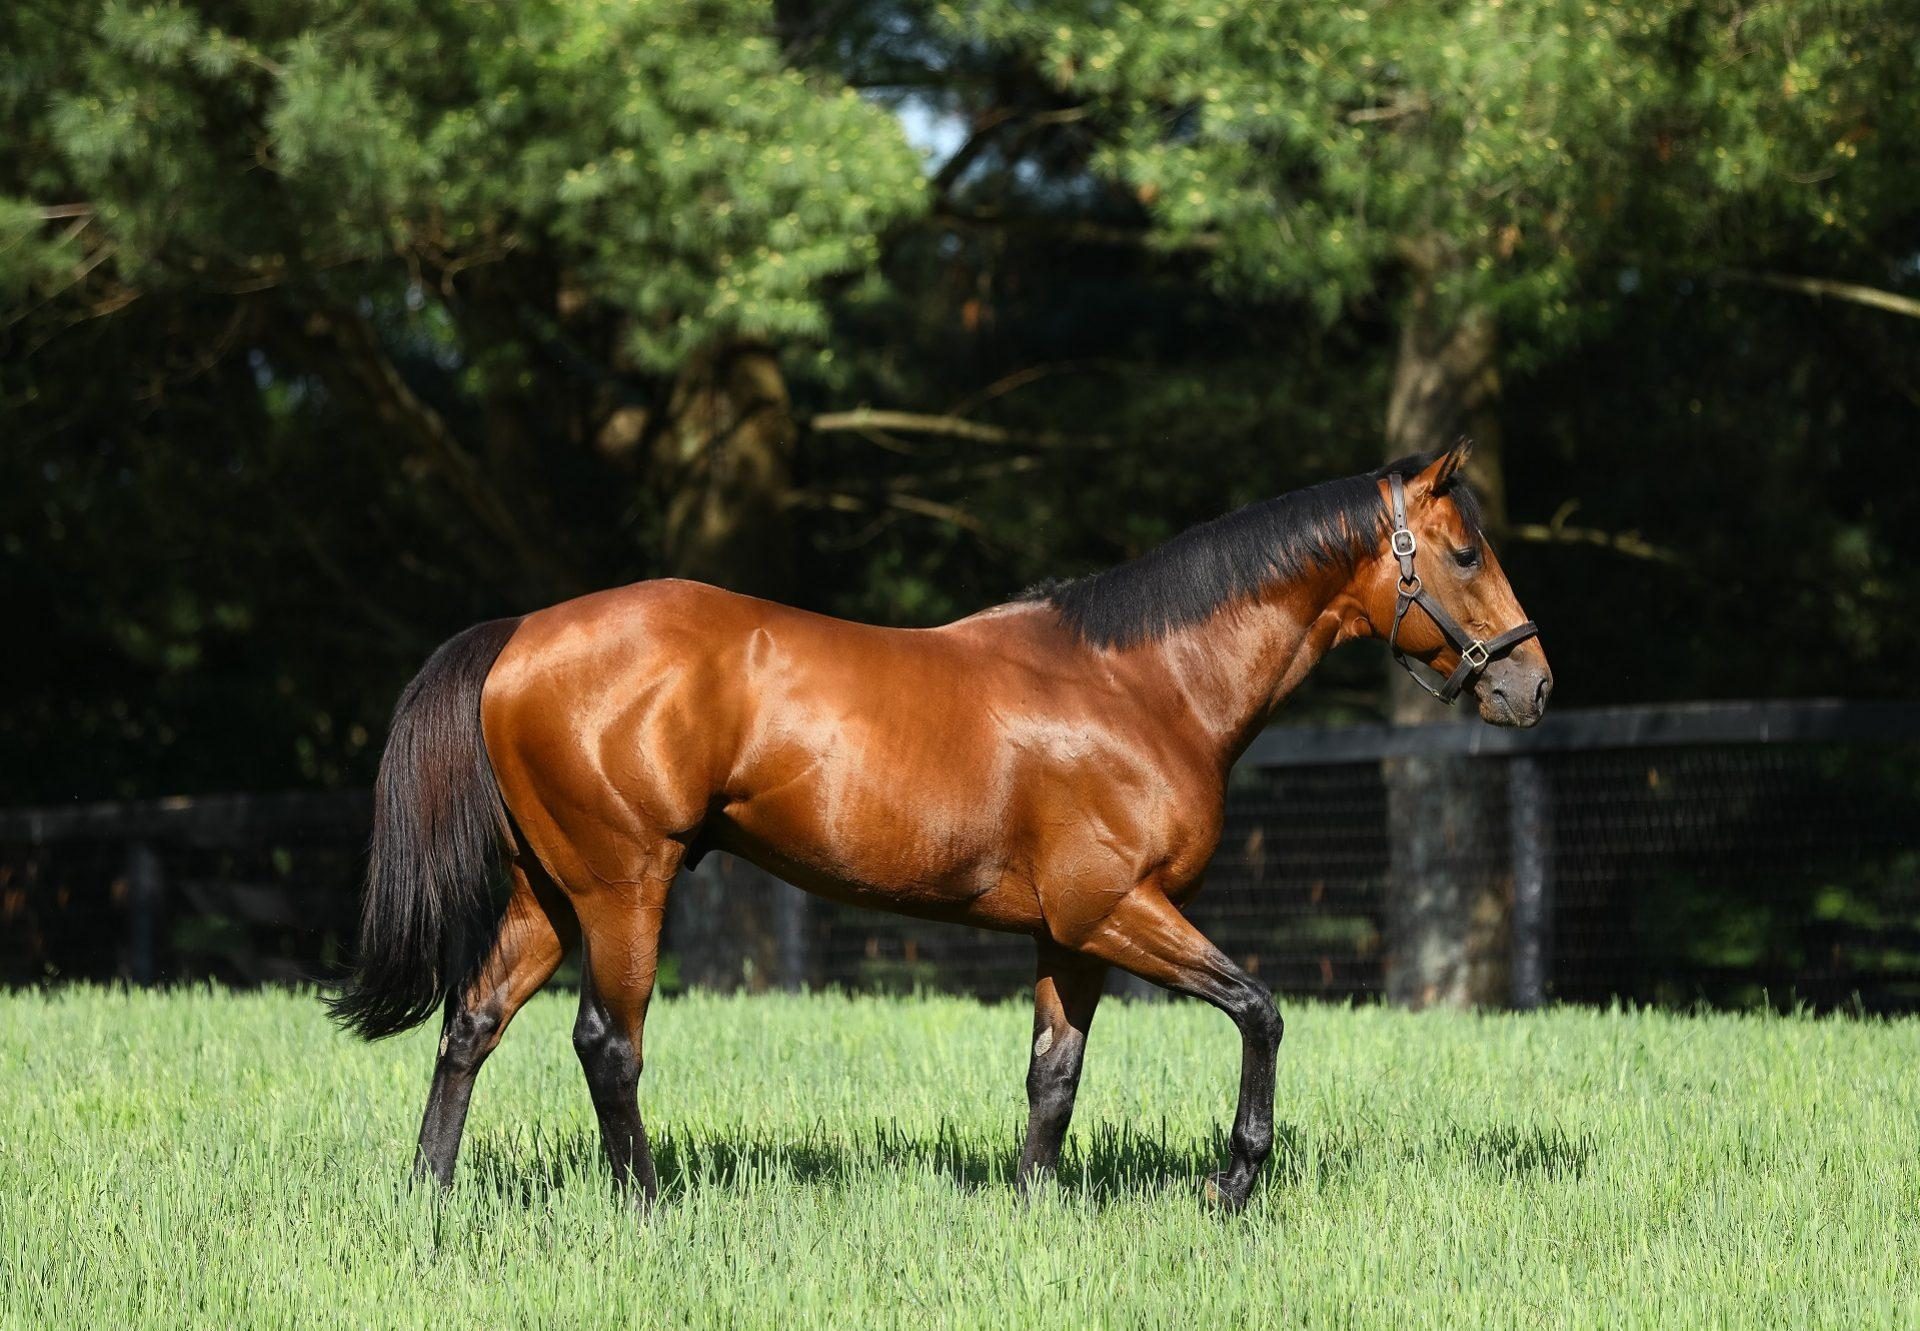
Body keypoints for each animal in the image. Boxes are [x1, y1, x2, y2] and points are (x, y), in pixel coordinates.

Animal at [334, 441, 1559, 1206]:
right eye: (1465, 552)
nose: (1533, 683)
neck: (1142, 684)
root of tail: (519, 633)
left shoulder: (1070, 934)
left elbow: (1054, 1077)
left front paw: (1033, 1209)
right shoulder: (1119, 910)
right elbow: (1260, 1009)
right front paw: (1233, 1177)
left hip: (550, 895)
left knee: (470, 1026)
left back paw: (429, 1200)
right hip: (623, 887)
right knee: (608, 1045)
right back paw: (646, 1205)